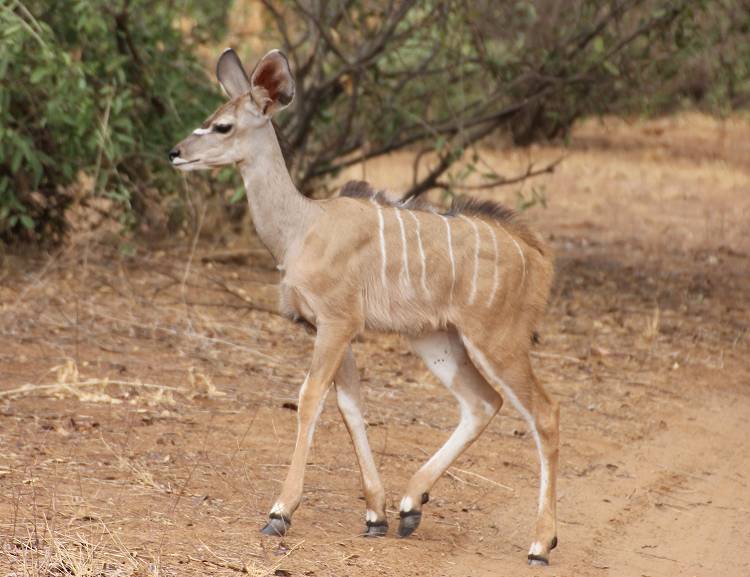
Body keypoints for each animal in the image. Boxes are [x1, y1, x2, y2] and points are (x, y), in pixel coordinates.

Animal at [170, 47, 560, 564]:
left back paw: (540, 544)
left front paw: (280, 512)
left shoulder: (337, 322)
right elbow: (349, 404)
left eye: (222, 126)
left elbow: (310, 398)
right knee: (482, 402)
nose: (175, 153)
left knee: (544, 414)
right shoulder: (331, 329)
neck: (302, 227)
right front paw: (375, 515)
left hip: (498, 339)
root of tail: (537, 257)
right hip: (436, 339)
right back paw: (411, 506)